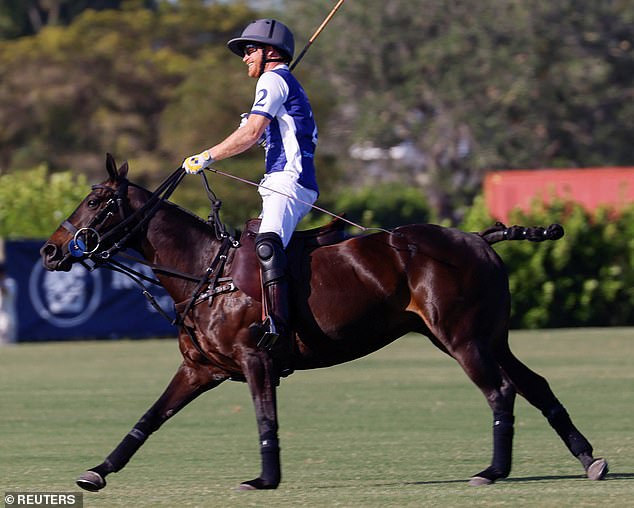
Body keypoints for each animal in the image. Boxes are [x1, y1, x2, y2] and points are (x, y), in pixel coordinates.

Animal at [39, 155, 608, 492]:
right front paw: (96, 472)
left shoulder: (254, 358)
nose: (49, 251)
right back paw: (589, 459)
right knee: (534, 384)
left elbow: (264, 418)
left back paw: (493, 471)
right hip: (485, 336)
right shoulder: (201, 367)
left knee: (501, 391)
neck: (204, 268)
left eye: (95, 200)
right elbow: (149, 418)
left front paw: (265, 479)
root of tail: (479, 237)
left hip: (462, 338)